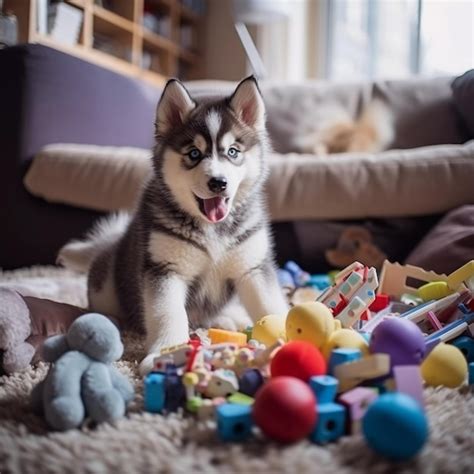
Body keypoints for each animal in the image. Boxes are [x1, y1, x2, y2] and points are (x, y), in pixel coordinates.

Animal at [59, 77, 288, 374]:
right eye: (194, 153)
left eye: (233, 152)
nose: (218, 183)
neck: (212, 229)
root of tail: (109, 245)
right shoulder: (165, 269)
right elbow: (167, 314)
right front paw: (165, 353)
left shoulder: (253, 267)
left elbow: (271, 304)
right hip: (107, 284)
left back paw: (229, 317)